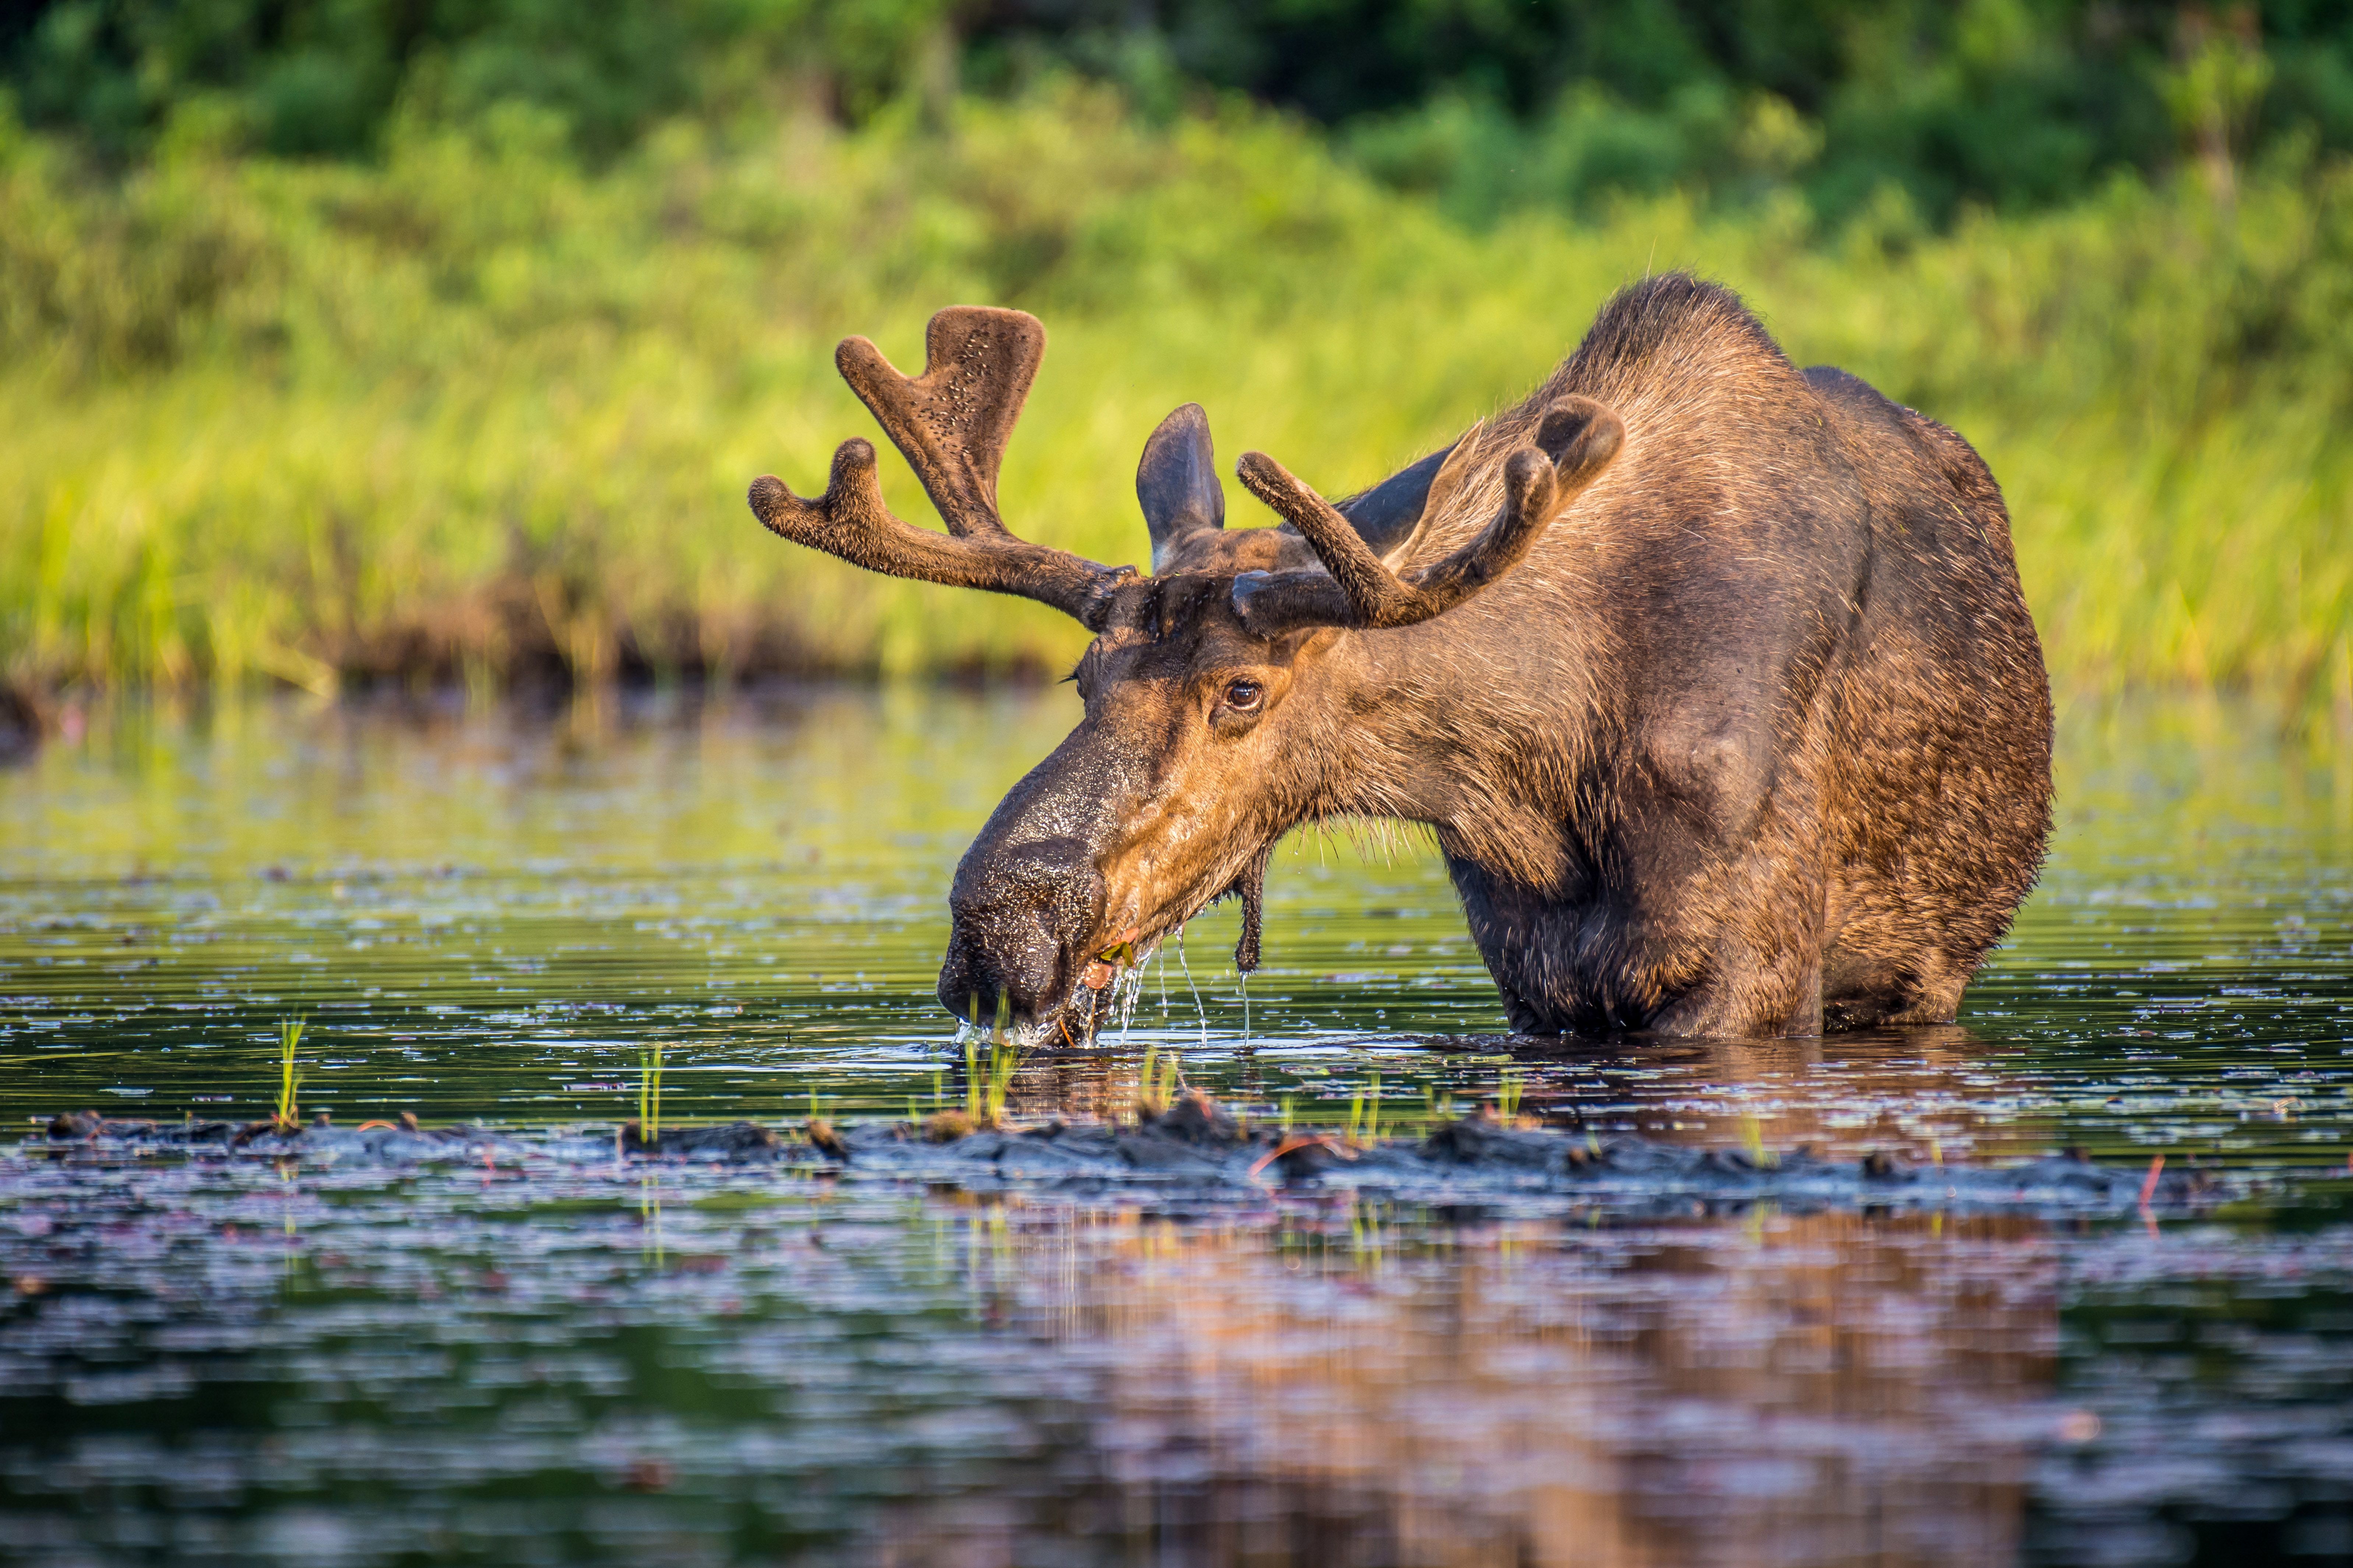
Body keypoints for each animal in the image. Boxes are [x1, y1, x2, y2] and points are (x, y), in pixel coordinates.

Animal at [743, 276, 2051, 1043]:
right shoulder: (1532, 974)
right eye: (1083, 681)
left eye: (1242, 690)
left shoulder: (1750, 972)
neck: (1546, 766)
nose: (998, 926)